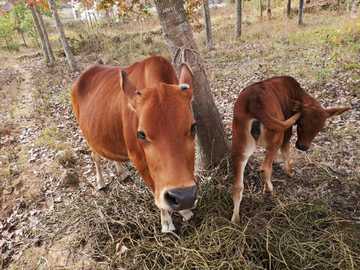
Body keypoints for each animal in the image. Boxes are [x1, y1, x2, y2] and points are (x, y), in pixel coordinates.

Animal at [70, 55, 200, 232]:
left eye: (192, 127)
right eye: (141, 134)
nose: (184, 196)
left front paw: (185, 211)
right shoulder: (138, 159)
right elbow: (154, 189)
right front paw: (166, 222)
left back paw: (122, 172)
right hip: (89, 135)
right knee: (95, 156)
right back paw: (100, 182)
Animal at [231, 75, 348, 223]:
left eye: (320, 128)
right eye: (301, 123)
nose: (303, 147)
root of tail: (254, 106)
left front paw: (275, 161)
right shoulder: (287, 131)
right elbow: (286, 150)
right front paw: (290, 172)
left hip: (239, 148)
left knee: (237, 186)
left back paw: (235, 219)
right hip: (278, 135)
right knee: (265, 168)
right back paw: (268, 190)